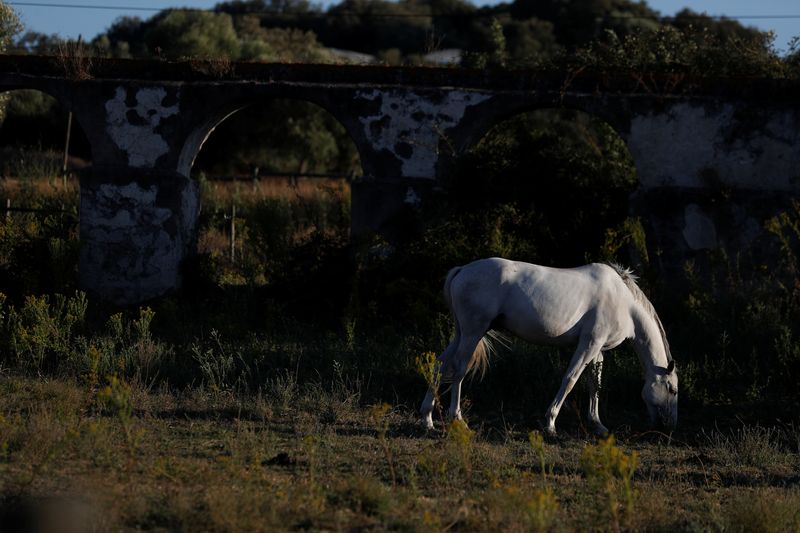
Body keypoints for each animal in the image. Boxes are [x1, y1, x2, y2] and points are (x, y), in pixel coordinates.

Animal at [422, 258, 680, 436]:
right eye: (672, 390)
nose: (669, 427)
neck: (624, 304)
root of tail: (462, 270)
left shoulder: (598, 350)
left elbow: (594, 385)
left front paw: (598, 425)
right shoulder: (589, 344)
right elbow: (570, 379)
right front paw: (550, 423)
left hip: (461, 334)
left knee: (439, 367)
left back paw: (427, 419)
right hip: (473, 332)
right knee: (459, 370)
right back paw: (458, 419)